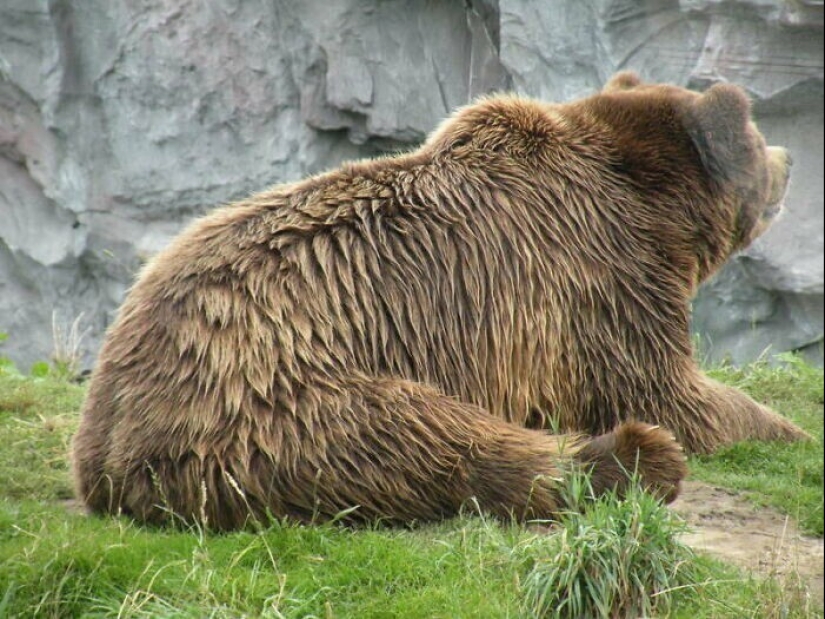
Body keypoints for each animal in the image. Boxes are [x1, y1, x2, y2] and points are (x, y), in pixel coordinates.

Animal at [71, 72, 805, 531]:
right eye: (754, 134)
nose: (790, 158)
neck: (651, 208)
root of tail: (109, 457)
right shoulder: (598, 283)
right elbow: (673, 394)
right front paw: (789, 429)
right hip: (271, 390)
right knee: (425, 438)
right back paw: (633, 458)